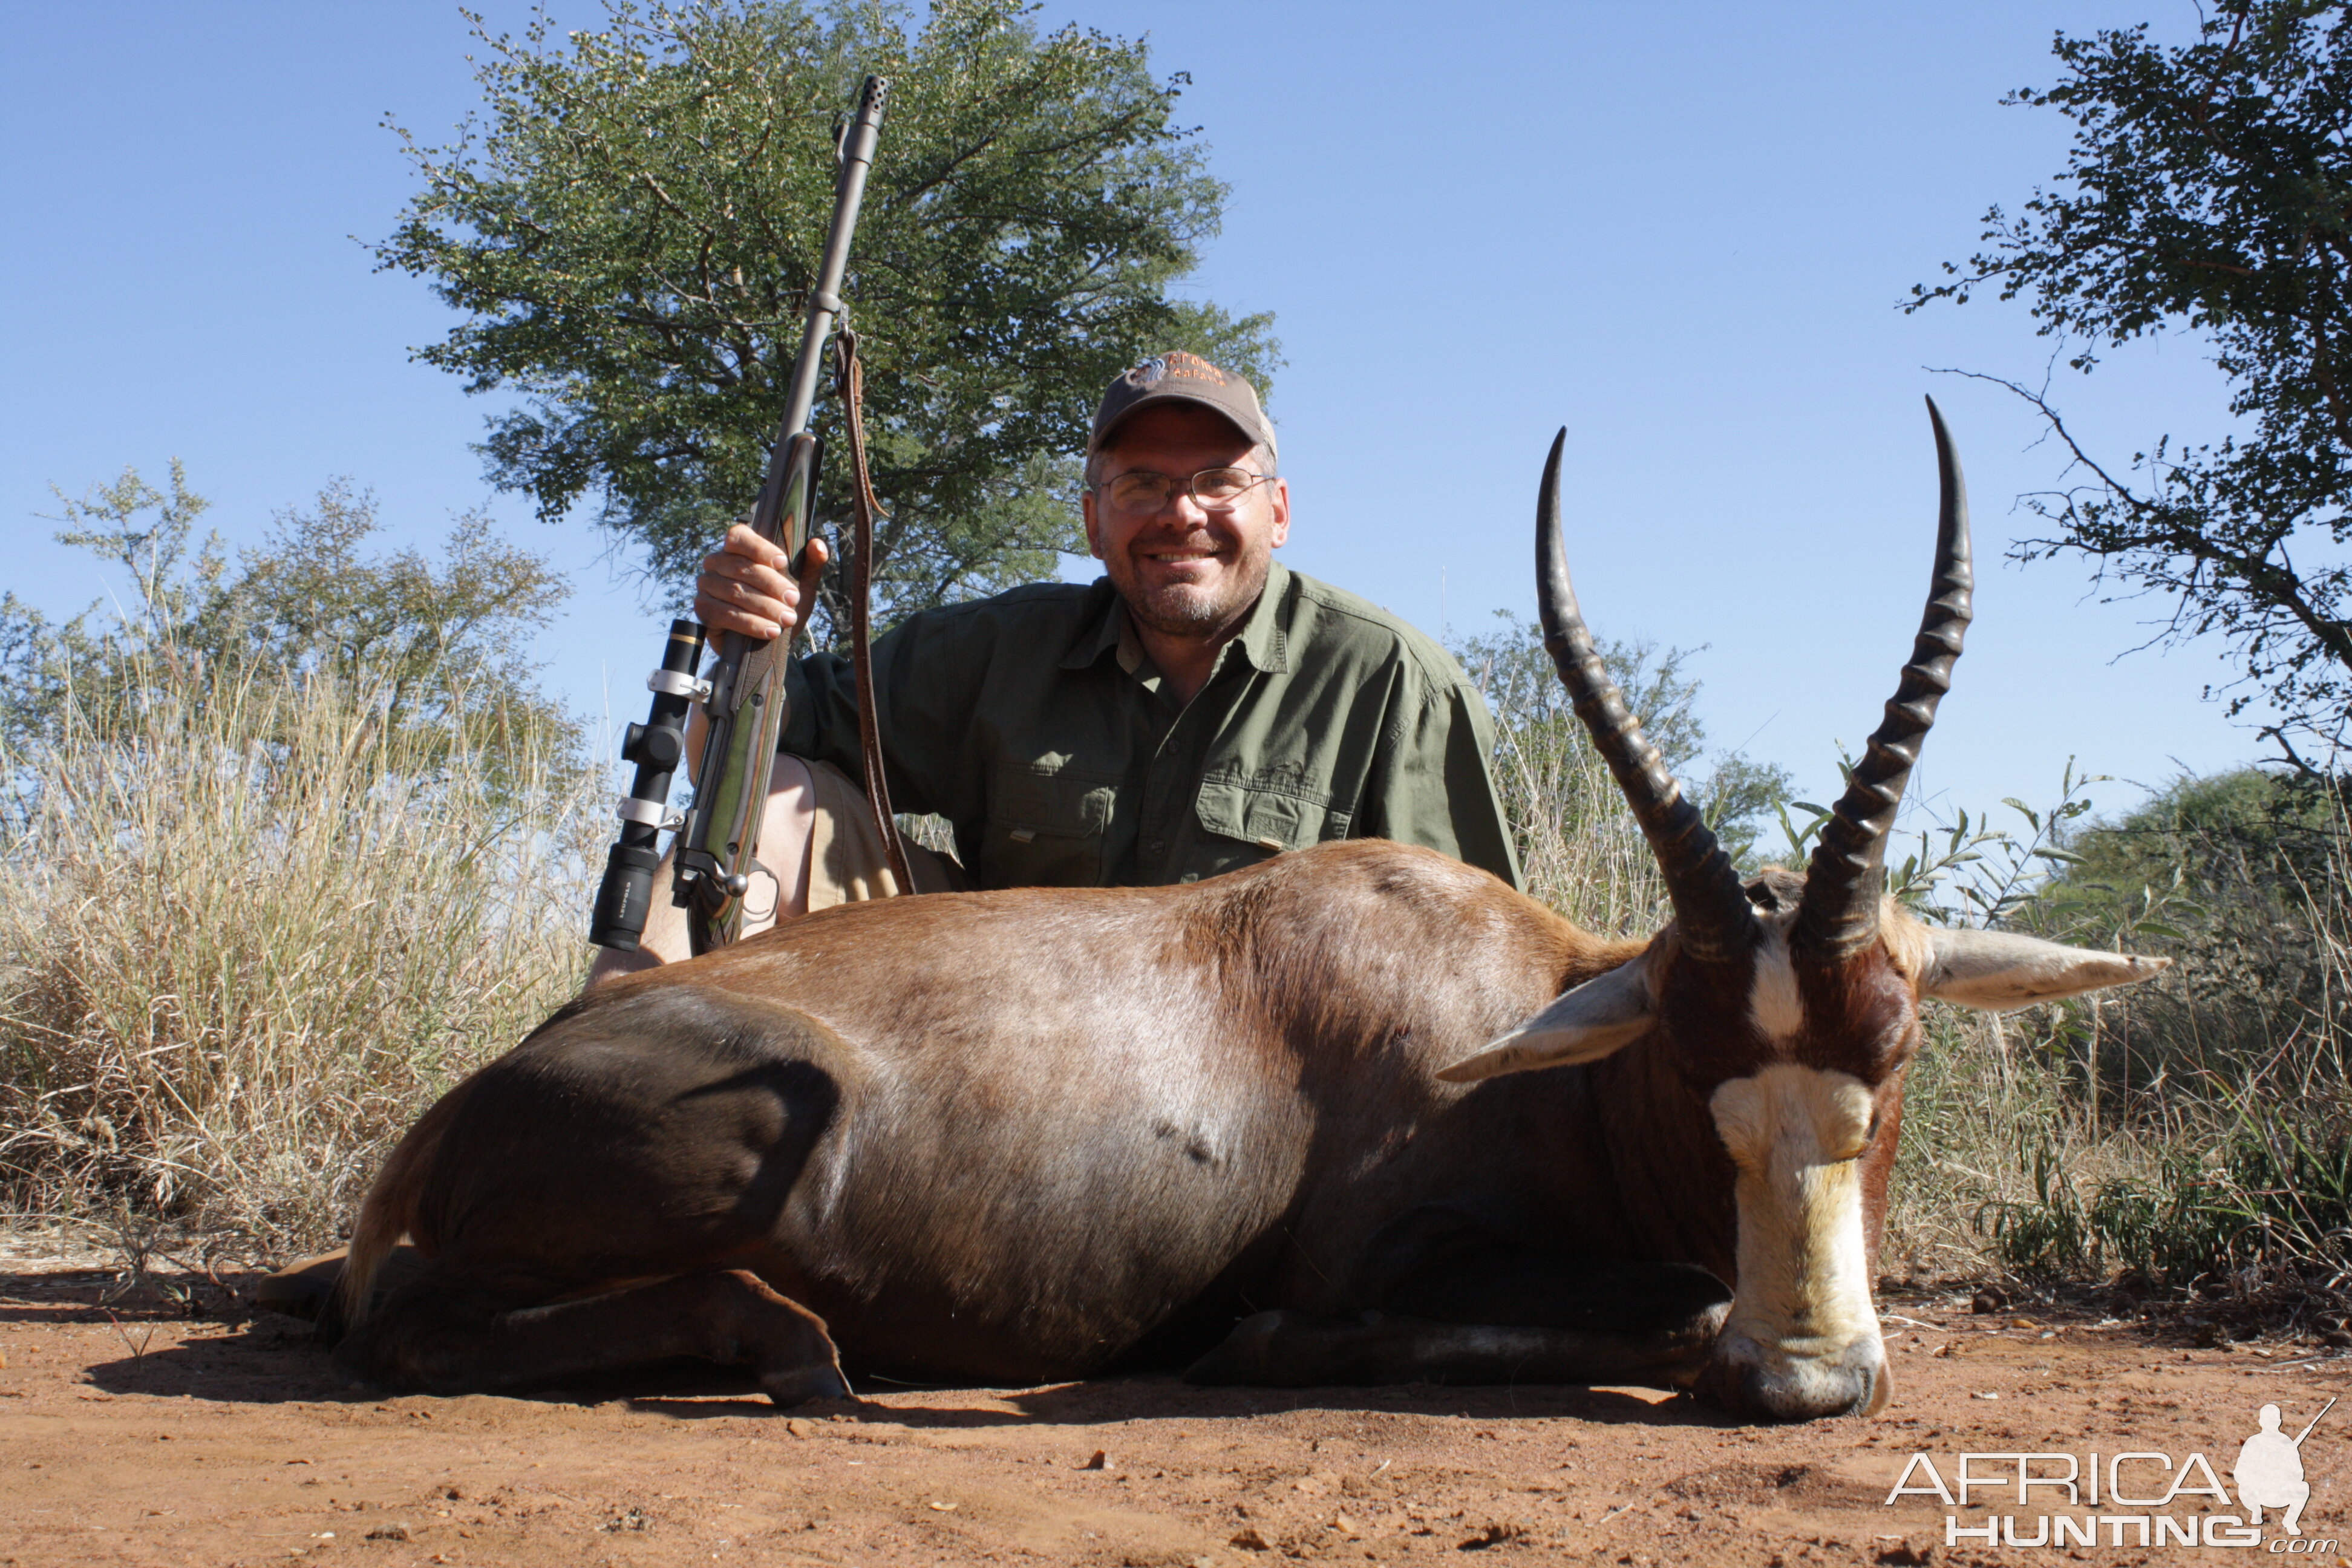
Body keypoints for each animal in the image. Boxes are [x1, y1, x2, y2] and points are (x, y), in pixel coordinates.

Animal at [327, 404, 2163, 1420]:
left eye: (1895, 1044)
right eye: (1691, 1049)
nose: (1807, 1384)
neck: (1521, 1013)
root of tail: (456, 1112)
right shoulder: (1379, 1260)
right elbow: (1652, 1300)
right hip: (758, 1124)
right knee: (413, 1321)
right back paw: (791, 1353)